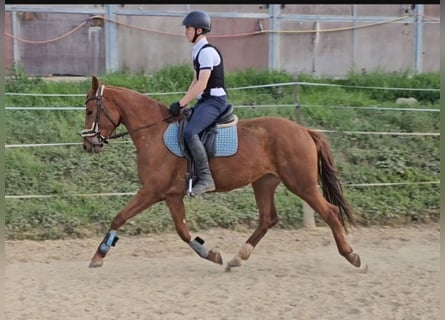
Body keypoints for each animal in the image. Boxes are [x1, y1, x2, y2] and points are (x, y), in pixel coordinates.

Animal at [80, 75, 360, 272]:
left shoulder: (152, 191)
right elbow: (182, 231)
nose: (88, 145)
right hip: (264, 182)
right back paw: (238, 258)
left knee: (330, 212)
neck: (155, 132)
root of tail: (304, 130)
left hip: (301, 183)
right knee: (267, 219)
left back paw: (352, 255)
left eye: (90, 111)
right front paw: (211, 254)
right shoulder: (172, 196)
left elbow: (119, 217)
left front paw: (98, 255)